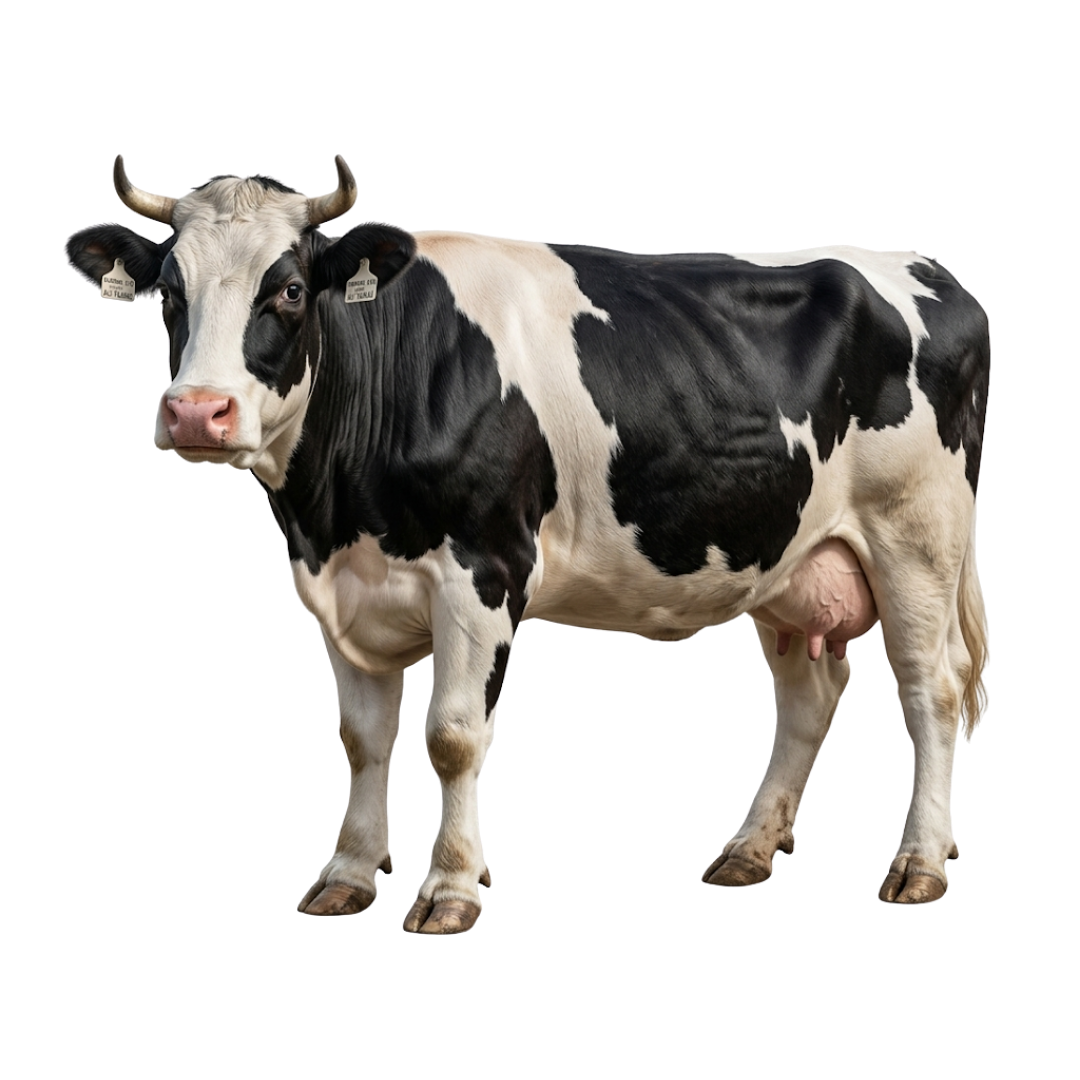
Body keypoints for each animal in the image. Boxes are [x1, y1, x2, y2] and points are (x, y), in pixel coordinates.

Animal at [65, 155, 990, 934]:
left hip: (918, 533)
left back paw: (918, 863)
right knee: (810, 694)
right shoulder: (339, 592)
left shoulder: (482, 572)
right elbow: (363, 738)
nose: (196, 412)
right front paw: (348, 875)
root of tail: (921, 267)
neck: (334, 508)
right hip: (783, 557)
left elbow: (451, 736)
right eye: (167, 293)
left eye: (289, 289)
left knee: (931, 688)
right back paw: (749, 849)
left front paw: (449, 888)